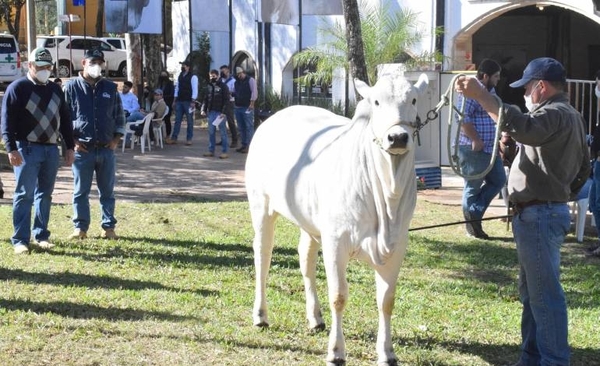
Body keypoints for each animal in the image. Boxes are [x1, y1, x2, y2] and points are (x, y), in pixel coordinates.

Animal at [246, 73, 428, 364]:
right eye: (376, 101)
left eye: (413, 99)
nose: (398, 137)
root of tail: (273, 117)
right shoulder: (335, 242)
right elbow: (339, 296)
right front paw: (336, 351)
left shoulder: (397, 245)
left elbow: (386, 300)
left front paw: (387, 352)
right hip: (261, 205)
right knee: (263, 255)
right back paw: (261, 315)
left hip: (309, 222)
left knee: (305, 257)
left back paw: (315, 318)